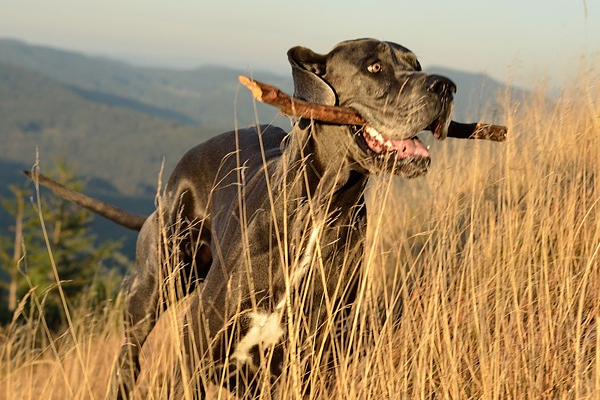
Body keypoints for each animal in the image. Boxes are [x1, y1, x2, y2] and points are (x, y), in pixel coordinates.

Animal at [27, 36, 454, 396]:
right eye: (374, 67)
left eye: (415, 64)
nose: (446, 86)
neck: (322, 209)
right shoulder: (196, 351)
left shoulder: (311, 367)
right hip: (154, 286)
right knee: (129, 357)